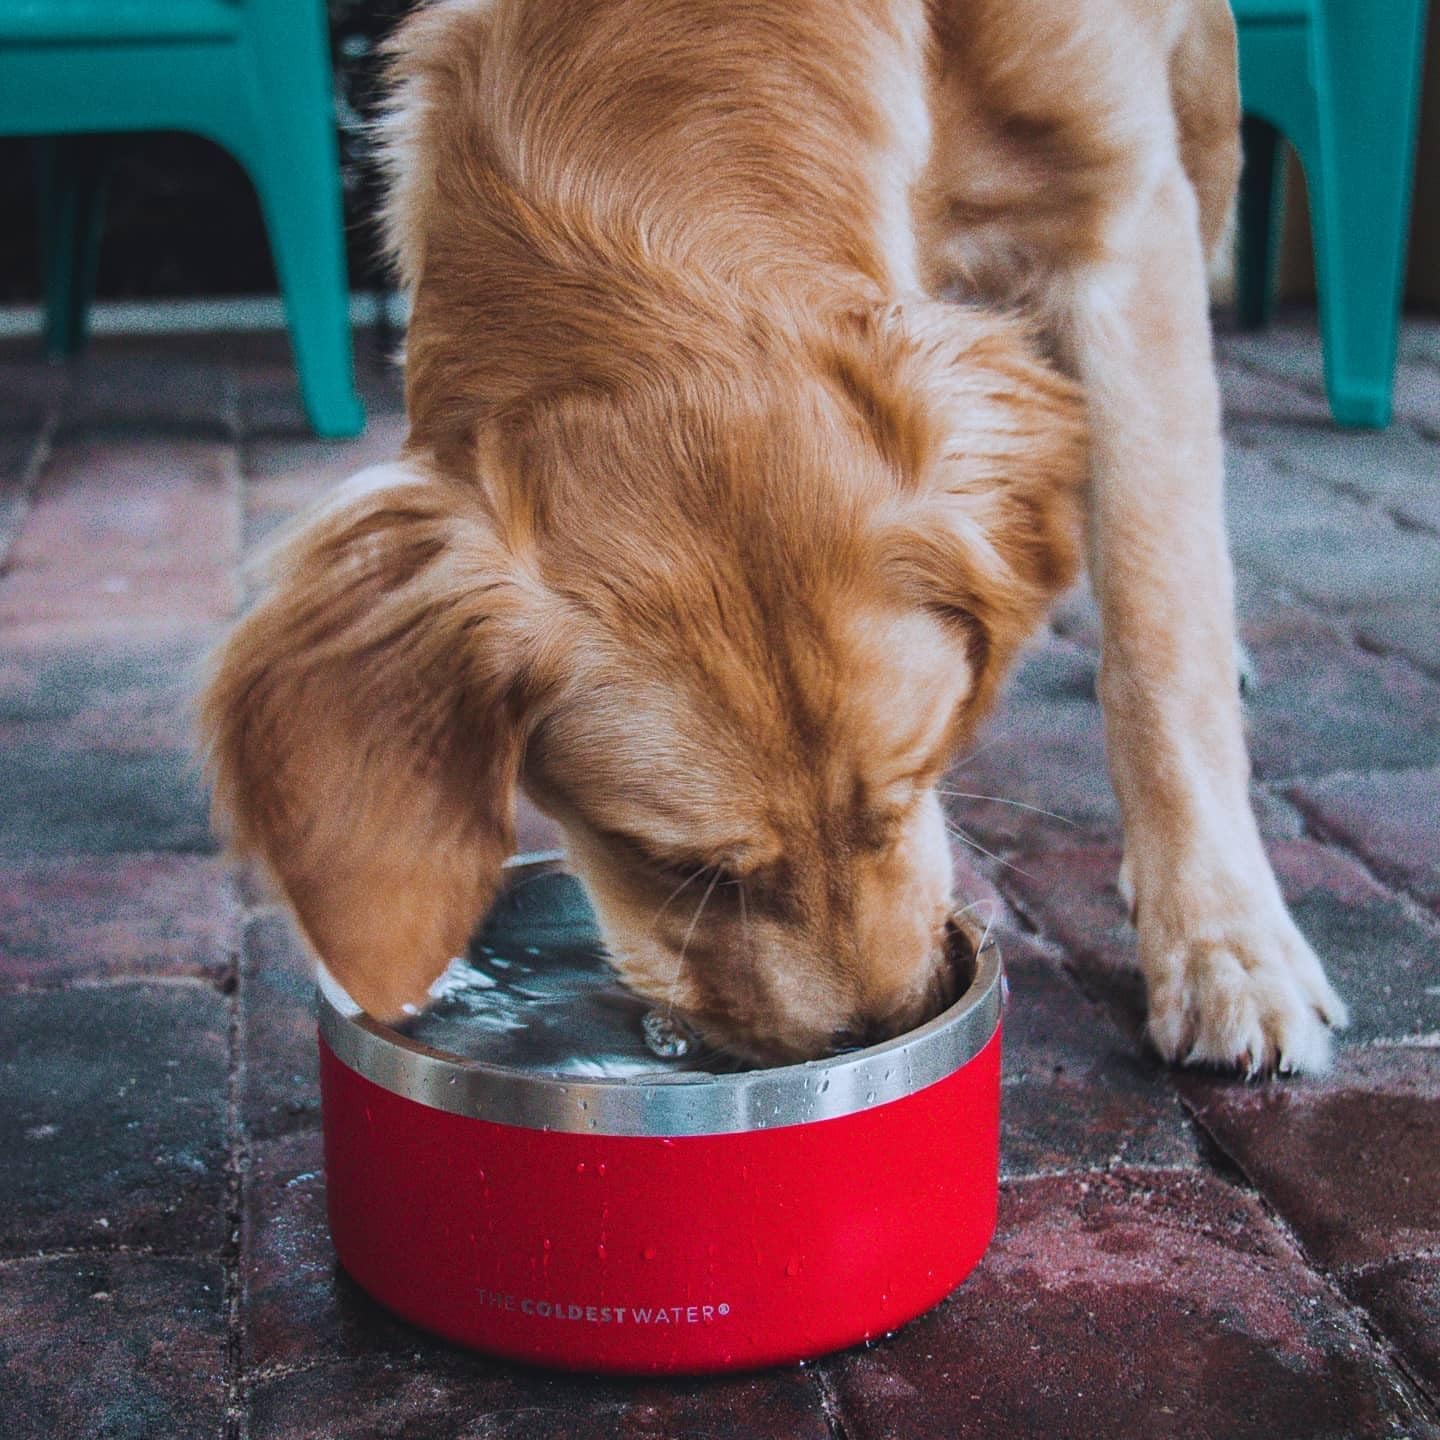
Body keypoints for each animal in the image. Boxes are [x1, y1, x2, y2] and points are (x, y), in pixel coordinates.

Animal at [203, 0, 1347, 1071]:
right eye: (680, 867)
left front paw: (1224, 947)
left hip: (1203, 135)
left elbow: (1160, 627)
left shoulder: (1119, 218)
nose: (881, 1029)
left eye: (914, 780)